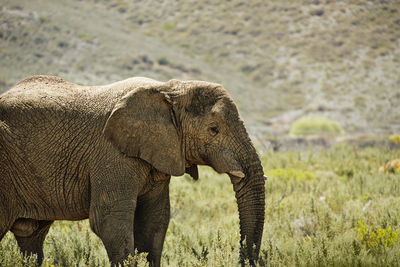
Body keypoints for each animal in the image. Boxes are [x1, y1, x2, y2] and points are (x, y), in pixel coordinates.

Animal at [0, 76, 266, 267]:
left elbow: (154, 221)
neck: (167, 89)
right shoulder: (111, 154)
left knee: (31, 235)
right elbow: (109, 220)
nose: (242, 260)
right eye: (213, 129)